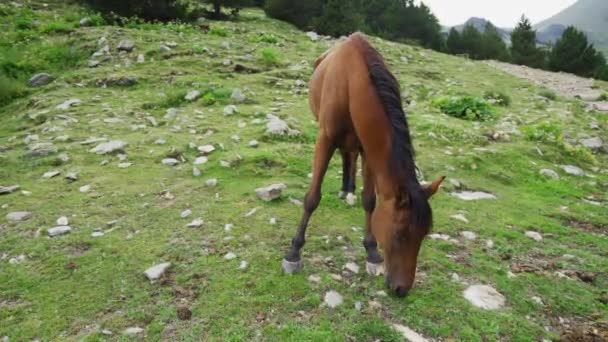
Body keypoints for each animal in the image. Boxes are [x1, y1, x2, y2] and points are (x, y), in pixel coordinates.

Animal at [282, 33, 444, 298]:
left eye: (424, 234)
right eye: (400, 235)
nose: (401, 289)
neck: (351, 82)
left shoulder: (368, 148)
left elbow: (369, 201)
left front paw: (372, 252)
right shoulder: (325, 139)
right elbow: (312, 198)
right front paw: (293, 253)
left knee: (349, 157)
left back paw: (347, 188)